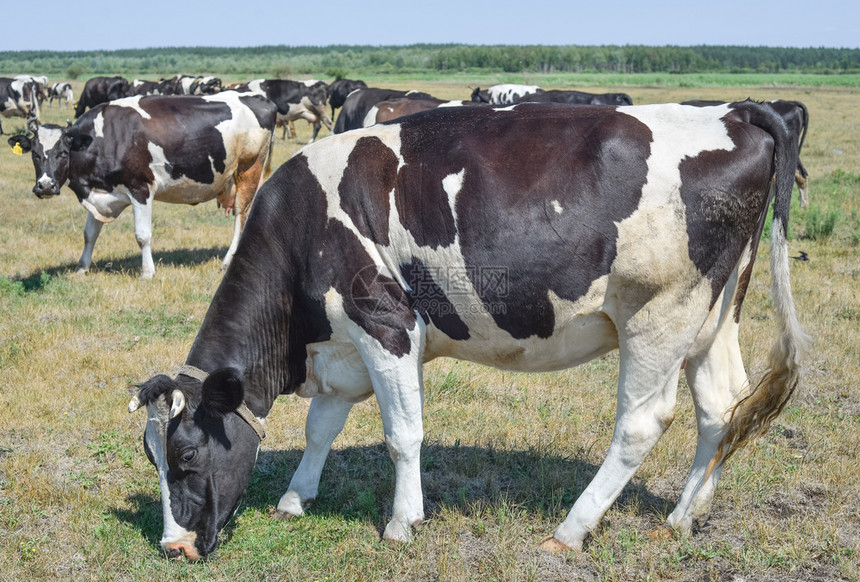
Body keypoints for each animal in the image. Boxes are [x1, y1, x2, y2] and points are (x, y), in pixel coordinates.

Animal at [6, 92, 276, 280]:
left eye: (63, 153)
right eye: (35, 155)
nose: (45, 186)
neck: (104, 140)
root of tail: (257, 97)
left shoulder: (141, 189)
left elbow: (142, 235)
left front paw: (147, 272)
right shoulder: (99, 193)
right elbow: (89, 234)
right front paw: (81, 268)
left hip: (249, 168)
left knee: (242, 215)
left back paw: (228, 261)